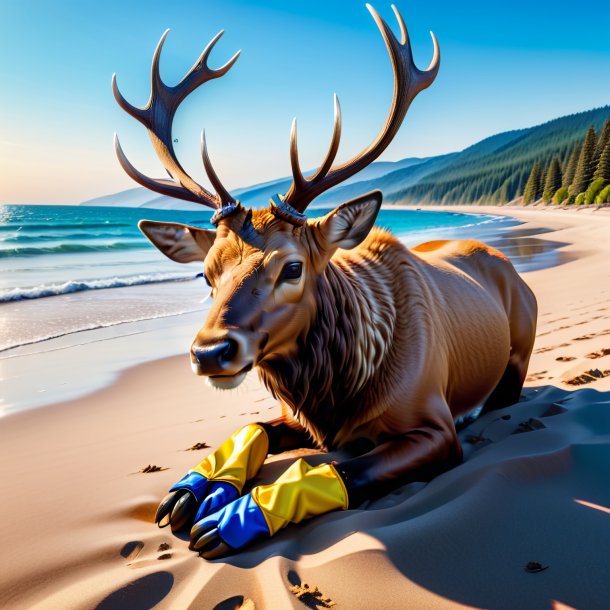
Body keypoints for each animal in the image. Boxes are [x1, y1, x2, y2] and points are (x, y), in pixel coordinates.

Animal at [111, 4, 536, 560]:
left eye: (292, 267)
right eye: (206, 274)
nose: (209, 352)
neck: (337, 390)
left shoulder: (435, 424)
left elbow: (345, 468)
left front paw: (239, 517)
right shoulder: (297, 416)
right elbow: (255, 425)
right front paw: (196, 487)